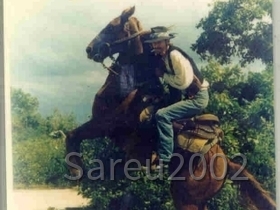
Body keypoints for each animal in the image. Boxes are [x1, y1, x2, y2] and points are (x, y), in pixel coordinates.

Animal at [66, 5, 278, 209]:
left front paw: (76, 170)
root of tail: (226, 161)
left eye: (111, 27)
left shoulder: (104, 124)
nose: (90, 49)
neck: (128, 90)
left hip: (185, 199)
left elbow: (73, 135)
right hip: (196, 201)